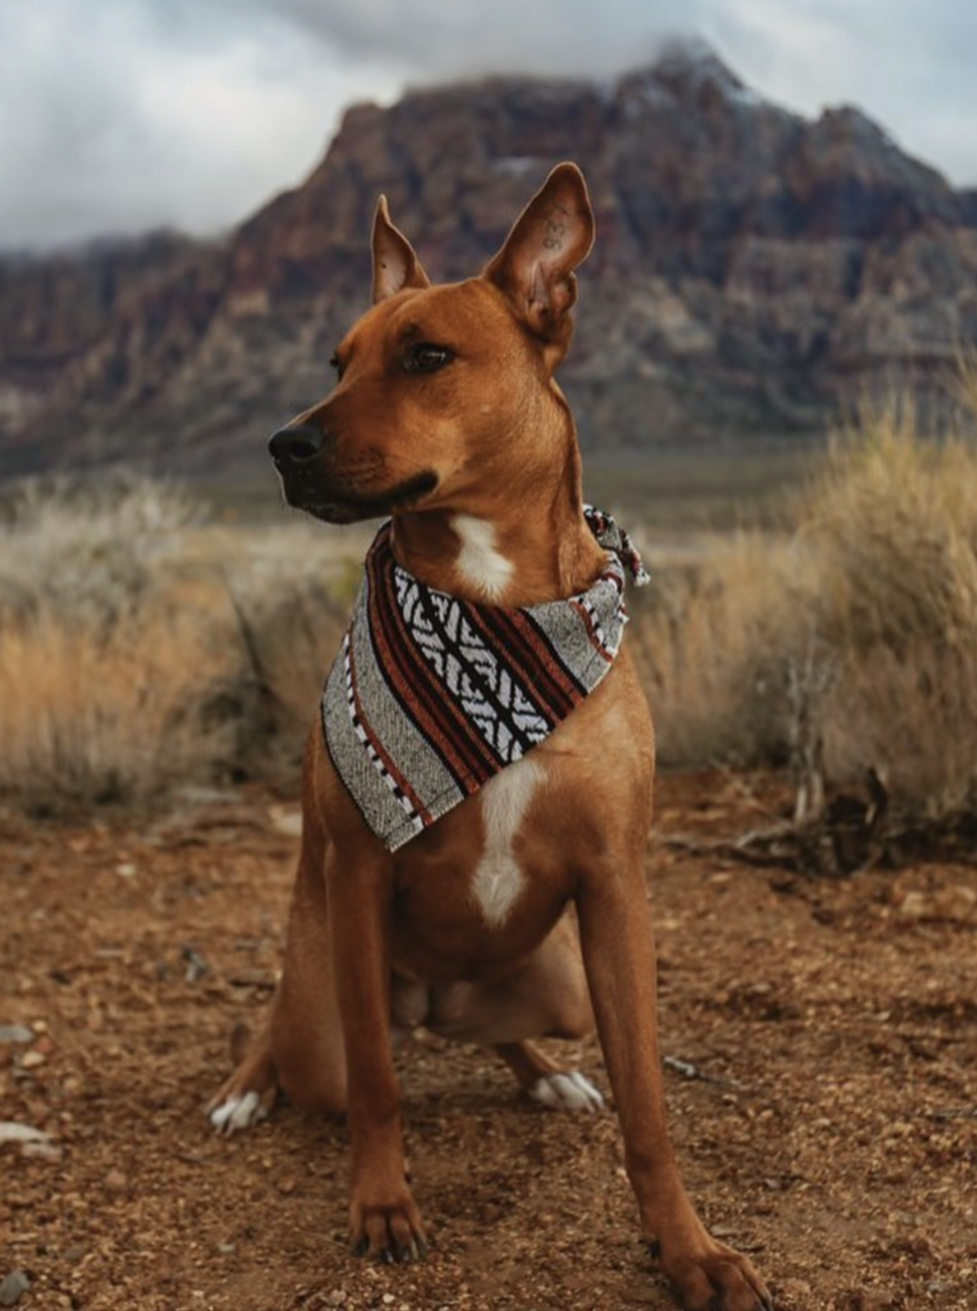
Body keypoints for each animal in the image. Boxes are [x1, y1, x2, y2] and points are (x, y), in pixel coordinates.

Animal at [209, 163, 771, 1311]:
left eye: (426, 355)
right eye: (336, 361)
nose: (283, 446)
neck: (494, 607)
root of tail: (435, 1001)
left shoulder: (612, 884)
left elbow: (649, 1105)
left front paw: (686, 1247)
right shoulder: (358, 874)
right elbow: (380, 1087)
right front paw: (382, 1206)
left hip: (553, 984)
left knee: (510, 1035)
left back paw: (547, 1075)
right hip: (321, 984)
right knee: (289, 1033)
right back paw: (247, 1089)